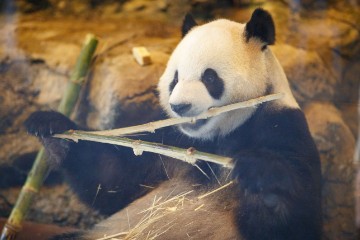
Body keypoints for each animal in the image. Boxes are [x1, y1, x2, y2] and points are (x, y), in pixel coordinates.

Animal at [23, 7, 322, 240]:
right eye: (174, 79)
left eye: (210, 77)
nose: (180, 106)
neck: (218, 137)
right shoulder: (170, 142)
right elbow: (112, 179)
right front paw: (51, 127)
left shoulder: (281, 128)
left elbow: (296, 219)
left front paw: (260, 176)